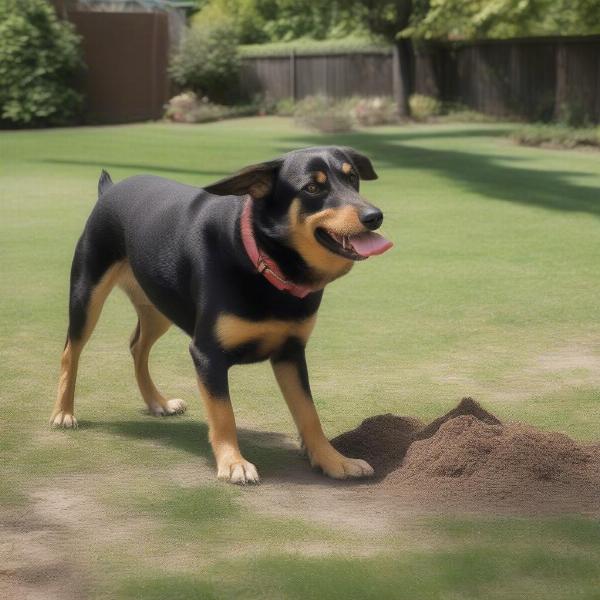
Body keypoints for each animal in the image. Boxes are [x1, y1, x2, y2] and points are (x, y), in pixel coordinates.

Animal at [51, 148, 394, 486]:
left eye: (353, 179)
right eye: (312, 187)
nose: (374, 216)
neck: (261, 258)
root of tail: (110, 189)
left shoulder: (291, 352)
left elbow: (309, 413)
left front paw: (333, 460)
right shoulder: (207, 355)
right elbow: (223, 414)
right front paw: (233, 463)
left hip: (158, 304)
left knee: (137, 346)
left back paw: (157, 402)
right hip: (87, 293)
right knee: (71, 351)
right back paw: (63, 412)